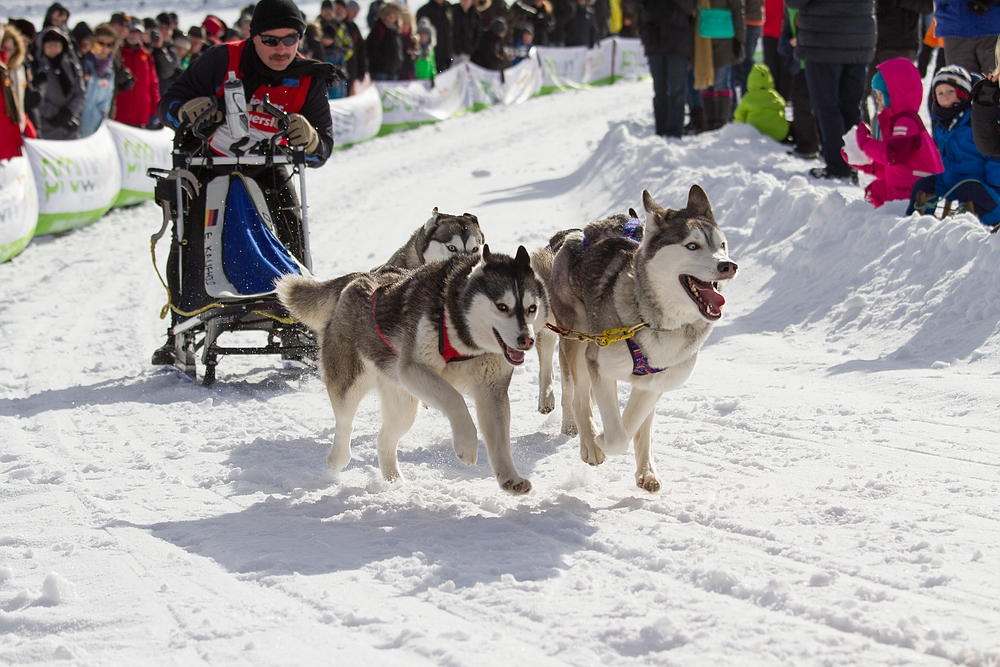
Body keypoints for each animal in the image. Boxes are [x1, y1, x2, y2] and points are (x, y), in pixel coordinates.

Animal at [276, 248, 548, 494]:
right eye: (502, 306)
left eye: (531, 308)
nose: (526, 340)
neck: (461, 334)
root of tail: (361, 277)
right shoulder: (412, 369)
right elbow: (455, 399)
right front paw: (467, 443)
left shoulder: (491, 390)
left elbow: (500, 442)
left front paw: (510, 478)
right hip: (352, 383)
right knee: (345, 423)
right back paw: (337, 458)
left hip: (403, 405)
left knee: (383, 440)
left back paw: (395, 483)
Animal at [548, 185, 736, 494]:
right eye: (692, 246)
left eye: (722, 245)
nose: (729, 266)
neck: (657, 322)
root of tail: (577, 234)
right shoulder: (598, 362)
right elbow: (615, 434)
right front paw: (599, 441)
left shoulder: (656, 381)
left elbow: (632, 424)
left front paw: (627, 449)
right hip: (576, 338)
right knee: (578, 398)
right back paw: (589, 442)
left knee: (640, 425)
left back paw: (646, 471)